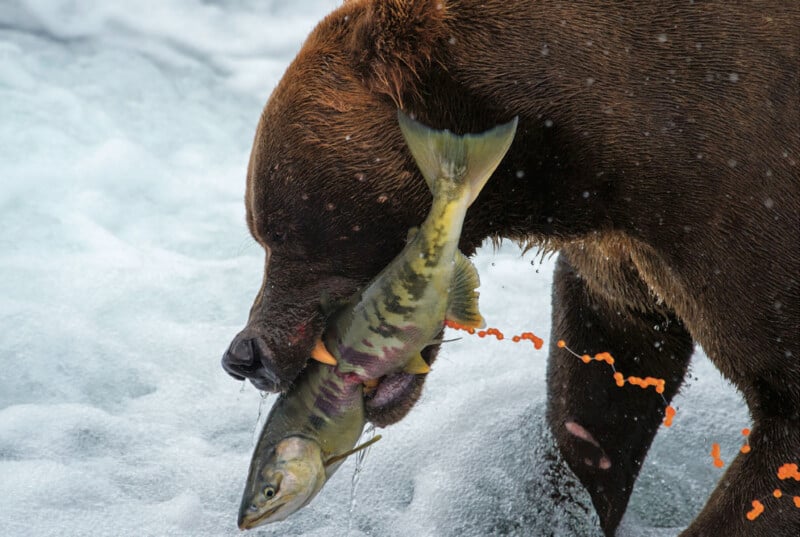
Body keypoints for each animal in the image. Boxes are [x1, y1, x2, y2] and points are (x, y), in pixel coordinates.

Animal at [220, 2, 800, 532]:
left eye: (278, 229)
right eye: (261, 229)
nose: (244, 355)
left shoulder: (738, 208)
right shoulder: (625, 258)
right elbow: (599, 395)